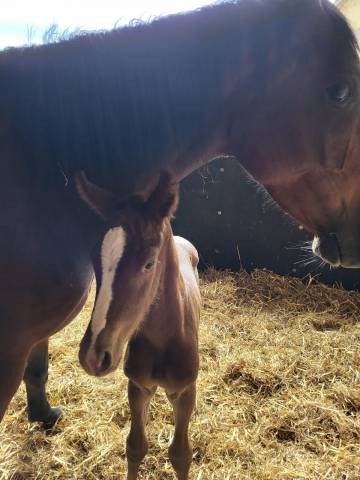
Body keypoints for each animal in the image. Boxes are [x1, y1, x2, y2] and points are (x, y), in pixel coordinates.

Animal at [76, 172, 201, 480]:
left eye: (148, 264)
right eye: (94, 260)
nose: (93, 356)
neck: (164, 339)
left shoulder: (185, 390)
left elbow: (181, 454)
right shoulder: (137, 386)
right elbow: (135, 446)